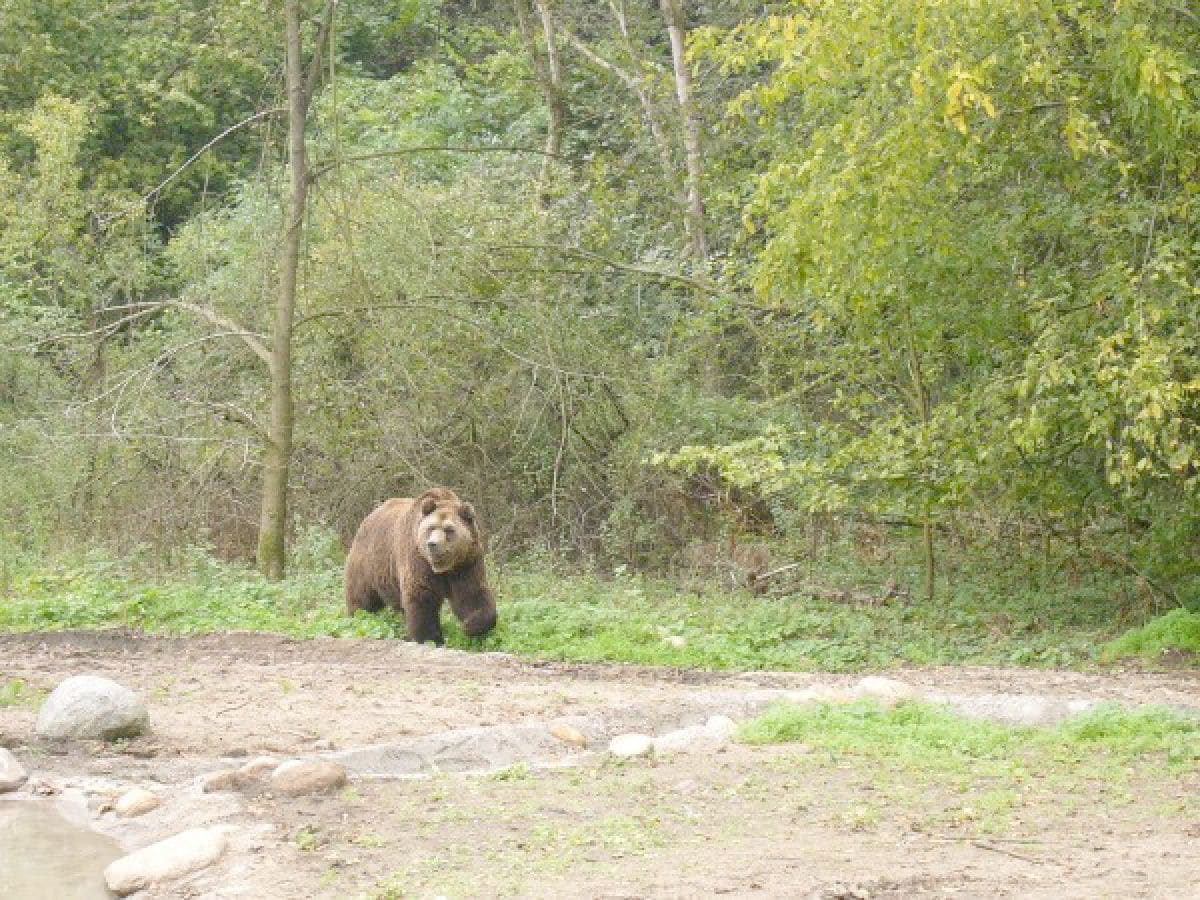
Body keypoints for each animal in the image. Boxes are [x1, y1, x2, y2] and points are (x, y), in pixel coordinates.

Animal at [348, 489, 496, 643]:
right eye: (431, 528)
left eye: (449, 529)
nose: (432, 544)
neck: (444, 568)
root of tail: (370, 516)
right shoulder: (419, 561)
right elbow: (422, 600)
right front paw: (431, 639)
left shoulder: (466, 564)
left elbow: (472, 594)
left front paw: (470, 626)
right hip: (367, 564)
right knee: (361, 599)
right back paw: (357, 617)